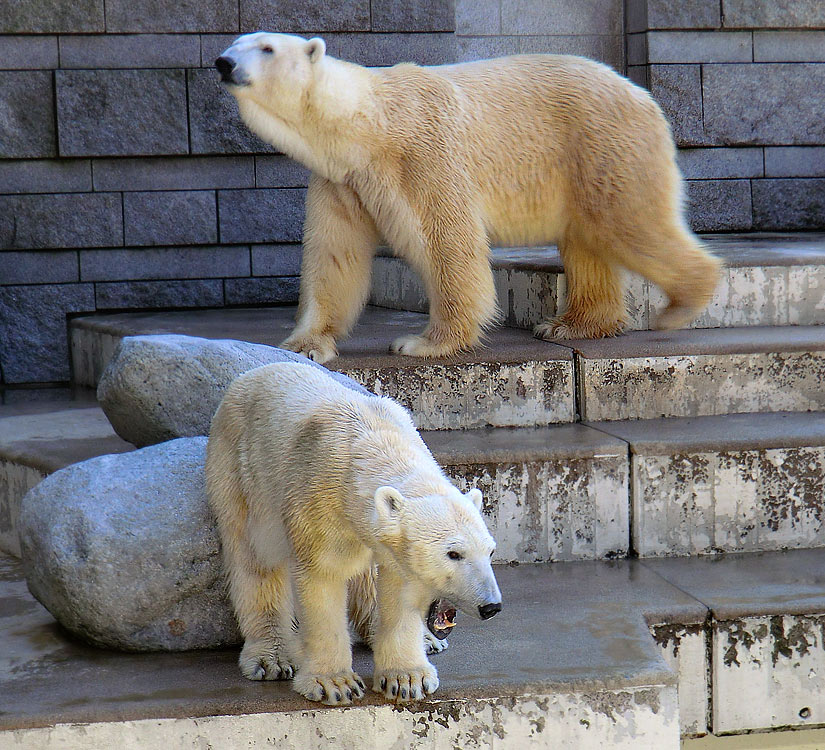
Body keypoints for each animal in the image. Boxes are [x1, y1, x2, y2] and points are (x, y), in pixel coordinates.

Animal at [206, 362, 502, 704]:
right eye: (454, 553)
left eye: (490, 551)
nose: (491, 606)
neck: (374, 444)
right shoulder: (317, 501)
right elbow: (324, 578)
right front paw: (335, 683)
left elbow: (398, 585)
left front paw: (407, 677)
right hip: (241, 472)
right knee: (254, 559)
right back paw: (273, 657)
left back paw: (425, 639)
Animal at [214, 33, 720, 364]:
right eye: (236, 42)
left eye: (266, 48)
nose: (222, 62)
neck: (366, 123)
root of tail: (641, 94)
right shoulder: (340, 180)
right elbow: (334, 255)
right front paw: (304, 344)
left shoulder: (423, 155)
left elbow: (445, 239)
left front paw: (424, 343)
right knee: (588, 238)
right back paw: (570, 323)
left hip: (600, 142)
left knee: (630, 221)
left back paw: (684, 302)